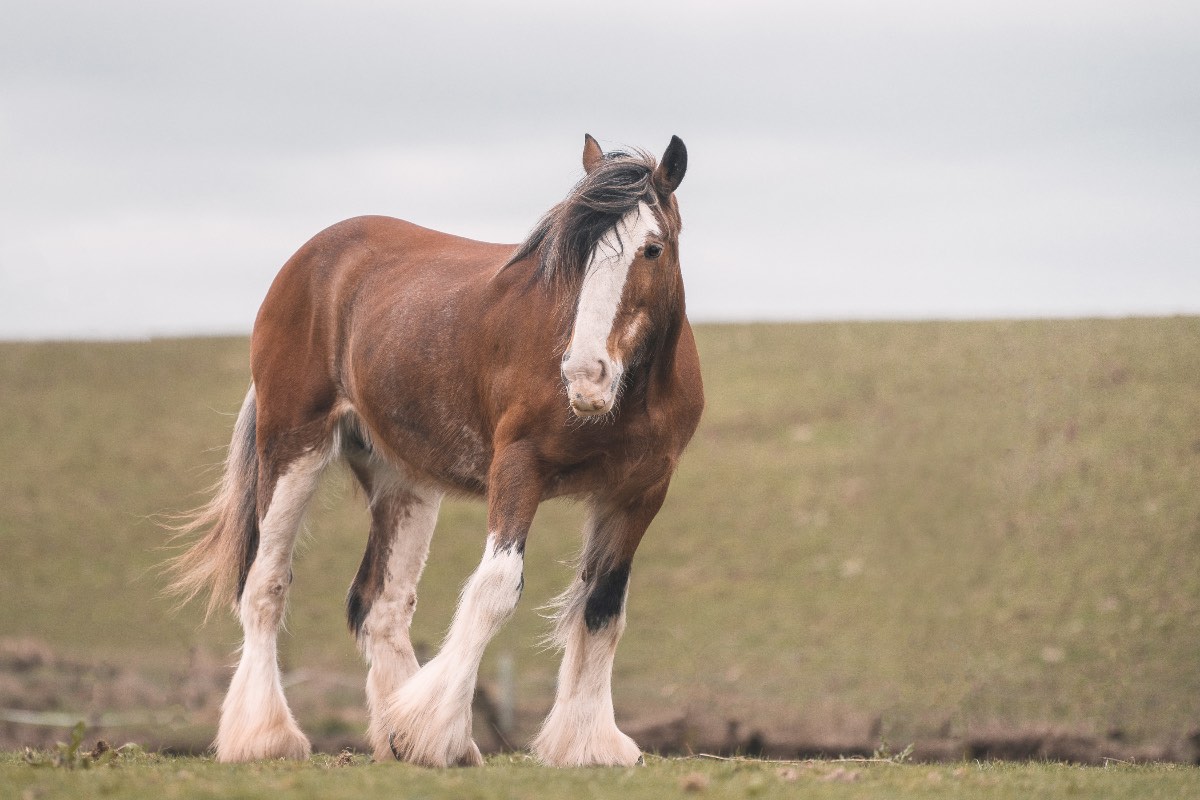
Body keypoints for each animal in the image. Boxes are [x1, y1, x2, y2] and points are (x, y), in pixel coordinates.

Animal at [164, 134, 700, 767]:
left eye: (651, 248)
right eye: (573, 255)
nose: (584, 375)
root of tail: (310, 257)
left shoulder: (637, 493)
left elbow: (602, 608)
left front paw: (586, 744)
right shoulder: (518, 468)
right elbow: (495, 589)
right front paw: (432, 728)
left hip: (404, 481)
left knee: (382, 605)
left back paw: (397, 736)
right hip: (294, 445)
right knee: (265, 586)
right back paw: (265, 736)